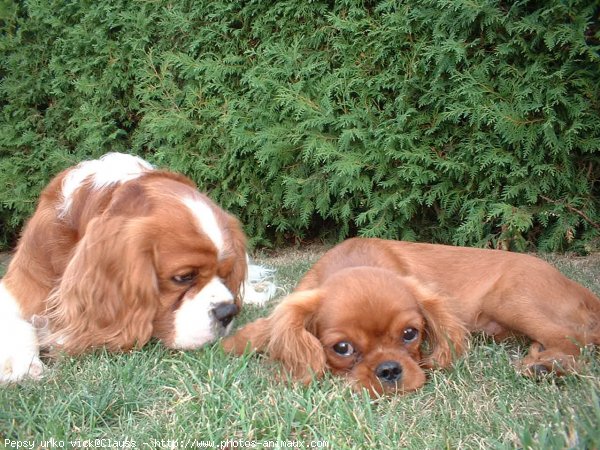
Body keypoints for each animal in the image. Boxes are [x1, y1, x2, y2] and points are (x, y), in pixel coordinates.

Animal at [224, 237, 600, 396]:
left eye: (410, 334)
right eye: (342, 348)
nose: (390, 371)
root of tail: (581, 289)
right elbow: (266, 327)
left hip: (509, 299)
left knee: (575, 340)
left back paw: (548, 367)